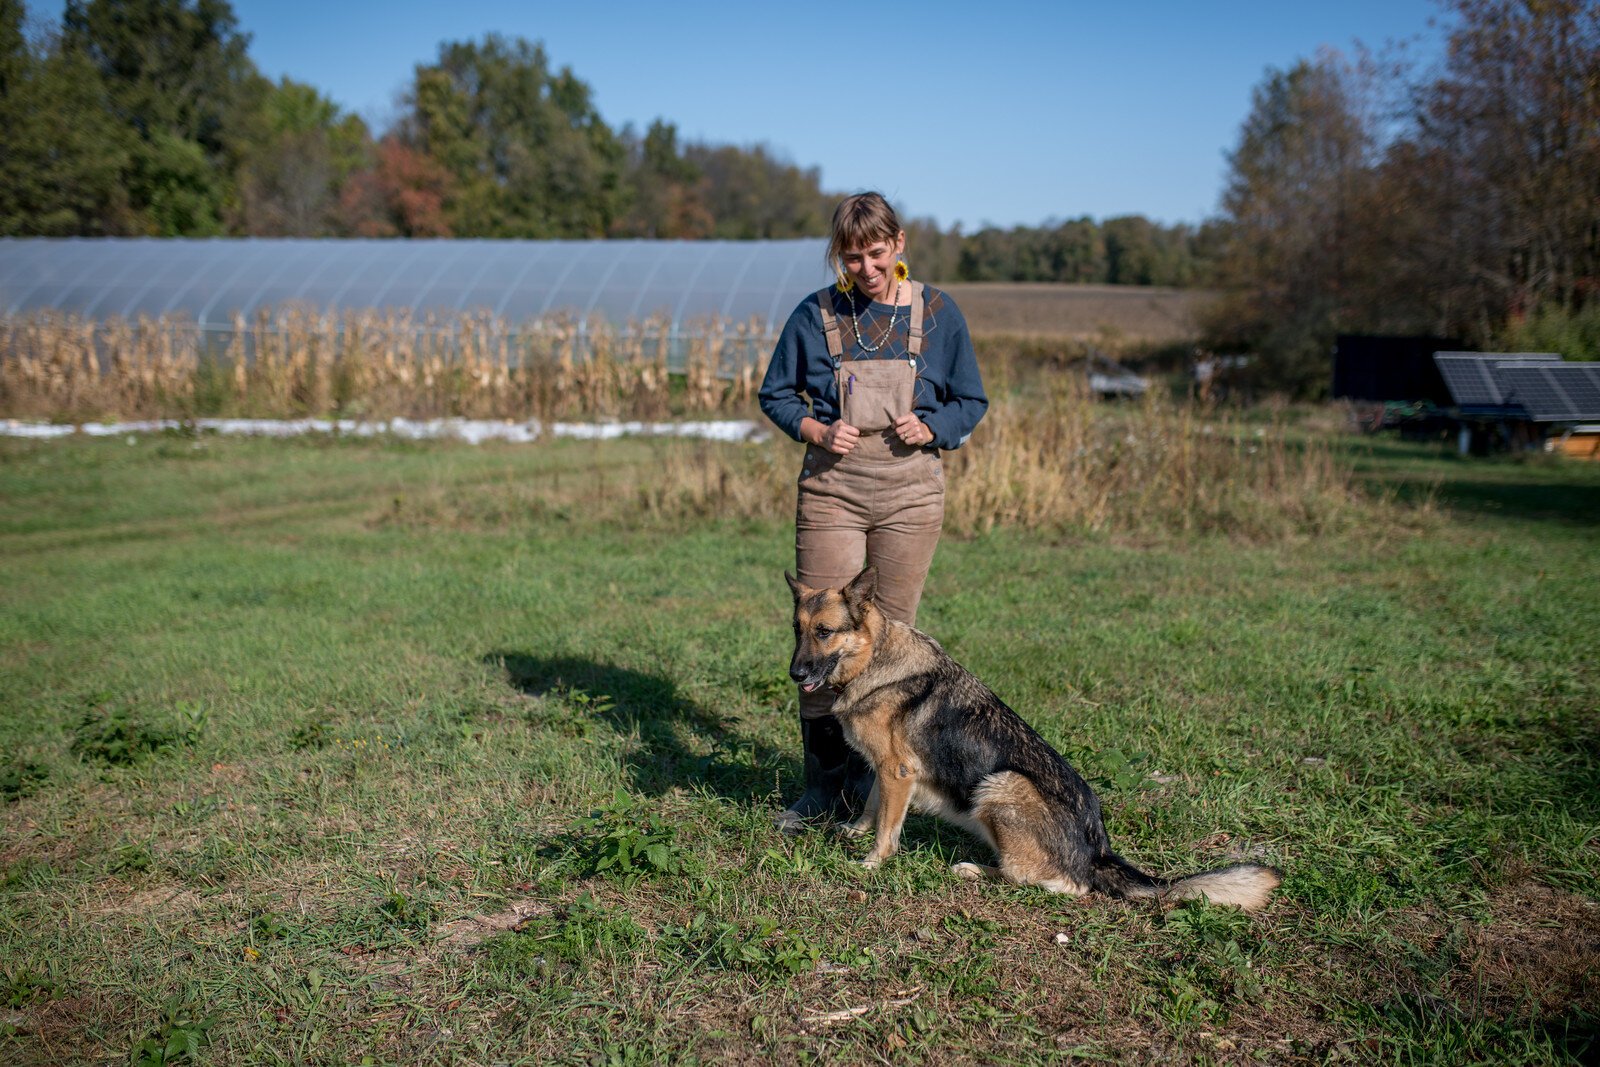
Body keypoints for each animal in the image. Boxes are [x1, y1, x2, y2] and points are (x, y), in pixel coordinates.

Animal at [790, 566, 1286, 908]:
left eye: (825, 632)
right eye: (797, 630)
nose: (795, 673)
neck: (873, 660)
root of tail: (1097, 852)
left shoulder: (899, 771)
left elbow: (887, 830)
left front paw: (872, 863)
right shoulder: (886, 771)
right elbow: (872, 807)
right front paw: (854, 831)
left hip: (1002, 784)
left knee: (1052, 882)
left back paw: (973, 870)